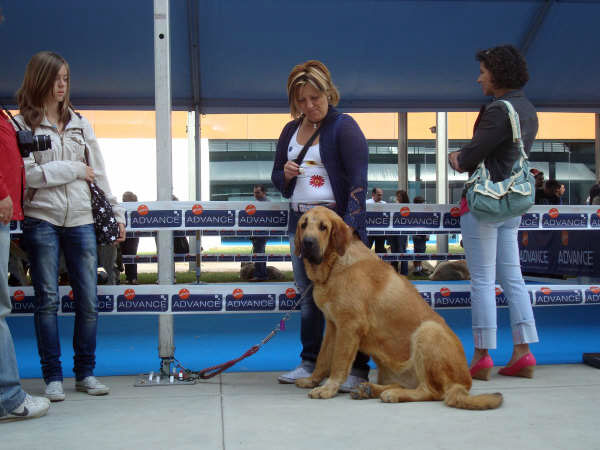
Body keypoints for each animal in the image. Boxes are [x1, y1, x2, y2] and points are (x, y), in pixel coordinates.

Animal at [292, 207, 504, 412]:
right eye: (303, 225)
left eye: (323, 227)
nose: (308, 242)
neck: (334, 264)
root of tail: (464, 384)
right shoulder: (333, 326)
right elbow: (323, 357)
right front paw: (312, 380)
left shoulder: (349, 326)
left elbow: (338, 361)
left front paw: (328, 388)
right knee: (408, 385)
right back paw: (369, 389)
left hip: (428, 331)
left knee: (431, 392)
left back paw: (391, 394)